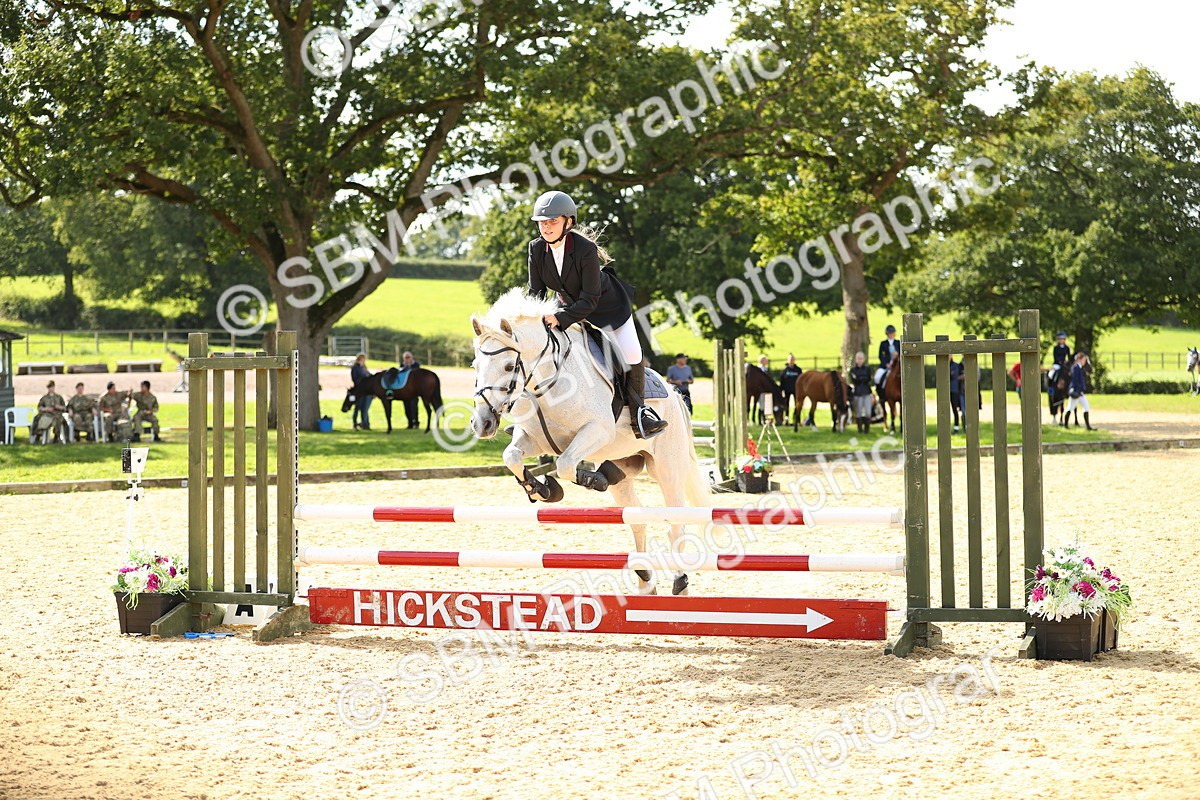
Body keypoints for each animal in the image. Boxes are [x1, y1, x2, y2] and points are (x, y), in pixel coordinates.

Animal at [469, 289, 710, 597]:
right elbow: (512, 456)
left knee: (676, 523)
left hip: (667, 468)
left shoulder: (596, 430)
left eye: (510, 366)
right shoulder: (535, 439)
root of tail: (675, 394)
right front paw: (540, 489)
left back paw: (680, 583)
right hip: (626, 462)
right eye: (475, 366)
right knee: (636, 515)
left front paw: (587, 480)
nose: (482, 423)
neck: (546, 384)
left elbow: (565, 464)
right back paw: (645, 580)